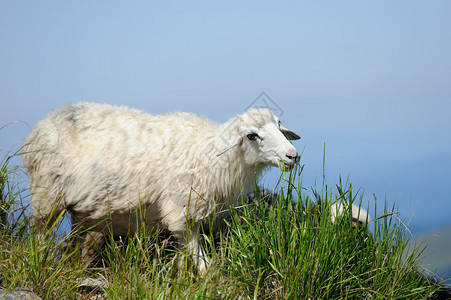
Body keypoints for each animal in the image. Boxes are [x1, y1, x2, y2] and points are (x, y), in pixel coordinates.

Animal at [23, 102, 302, 274]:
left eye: (279, 125)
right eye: (252, 135)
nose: (293, 155)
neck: (212, 157)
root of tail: (46, 120)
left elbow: (182, 258)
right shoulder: (182, 212)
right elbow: (201, 261)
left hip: (80, 211)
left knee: (75, 242)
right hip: (47, 195)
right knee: (39, 237)